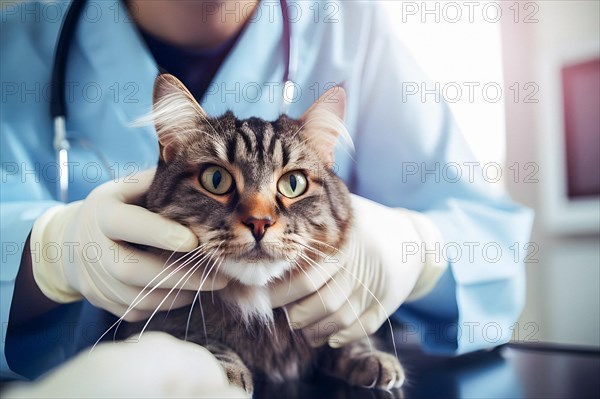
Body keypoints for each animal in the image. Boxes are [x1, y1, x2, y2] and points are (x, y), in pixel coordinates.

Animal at [125, 74, 404, 394]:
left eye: (293, 183)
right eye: (216, 179)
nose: (259, 222)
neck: (258, 310)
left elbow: (343, 337)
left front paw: (373, 357)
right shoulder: (154, 323)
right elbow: (200, 340)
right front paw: (225, 374)